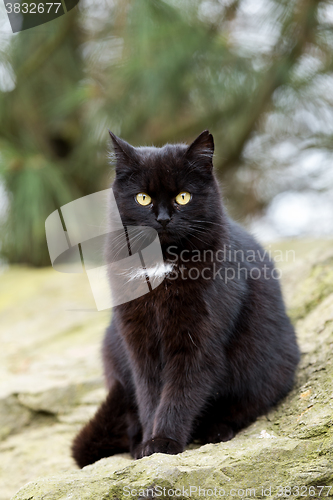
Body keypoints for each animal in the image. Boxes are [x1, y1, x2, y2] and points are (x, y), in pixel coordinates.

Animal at [71, 131, 300, 466]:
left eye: (183, 197)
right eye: (143, 198)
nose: (163, 219)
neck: (162, 263)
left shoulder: (198, 339)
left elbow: (180, 391)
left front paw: (164, 441)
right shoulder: (138, 341)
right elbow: (149, 393)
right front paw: (147, 445)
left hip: (272, 364)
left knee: (246, 404)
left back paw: (216, 430)